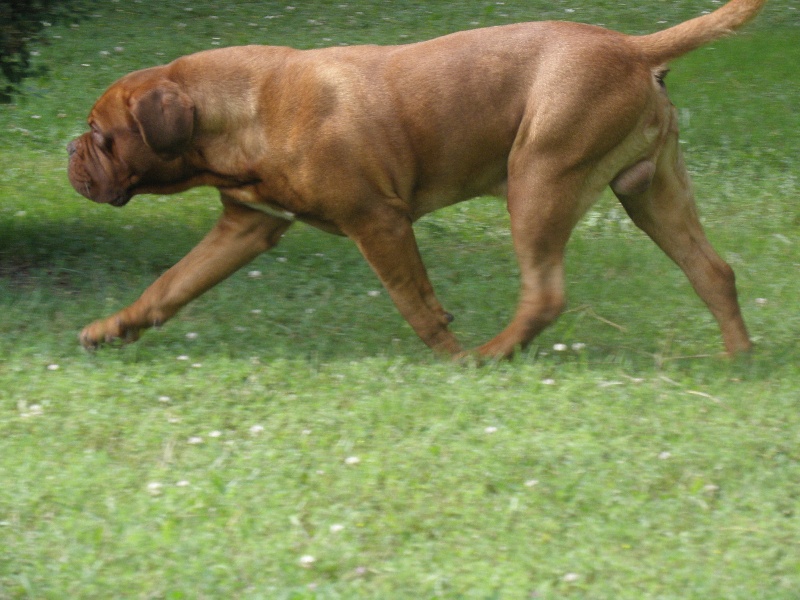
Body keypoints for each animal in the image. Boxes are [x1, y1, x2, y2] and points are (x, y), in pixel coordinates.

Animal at [67, 0, 764, 356]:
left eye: (102, 136)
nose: (71, 151)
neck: (241, 113)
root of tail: (632, 46)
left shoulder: (378, 220)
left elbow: (416, 304)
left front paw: (449, 356)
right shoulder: (246, 226)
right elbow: (168, 287)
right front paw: (110, 328)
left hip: (538, 180)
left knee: (544, 295)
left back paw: (486, 358)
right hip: (652, 193)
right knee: (713, 272)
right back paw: (738, 361)